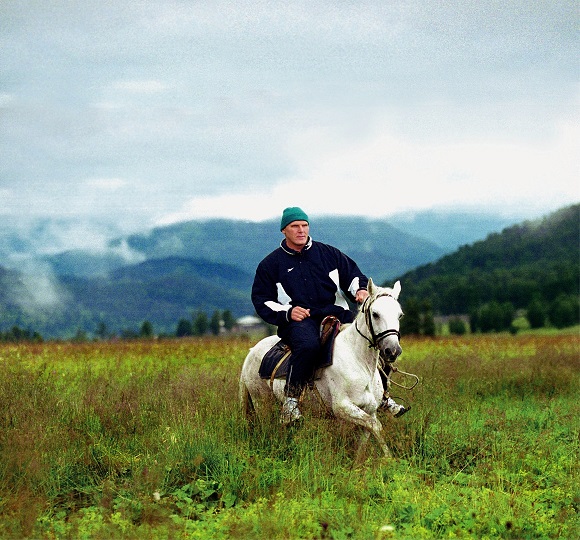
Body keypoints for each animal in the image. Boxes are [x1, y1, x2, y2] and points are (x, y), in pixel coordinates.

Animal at [240, 278, 404, 460]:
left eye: (399, 315)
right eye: (375, 314)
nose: (393, 350)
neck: (358, 361)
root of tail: (251, 352)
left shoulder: (370, 409)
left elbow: (367, 435)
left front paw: (360, 463)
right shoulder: (343, 408)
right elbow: (375, 425)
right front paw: (389, 459)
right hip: (262, 404)